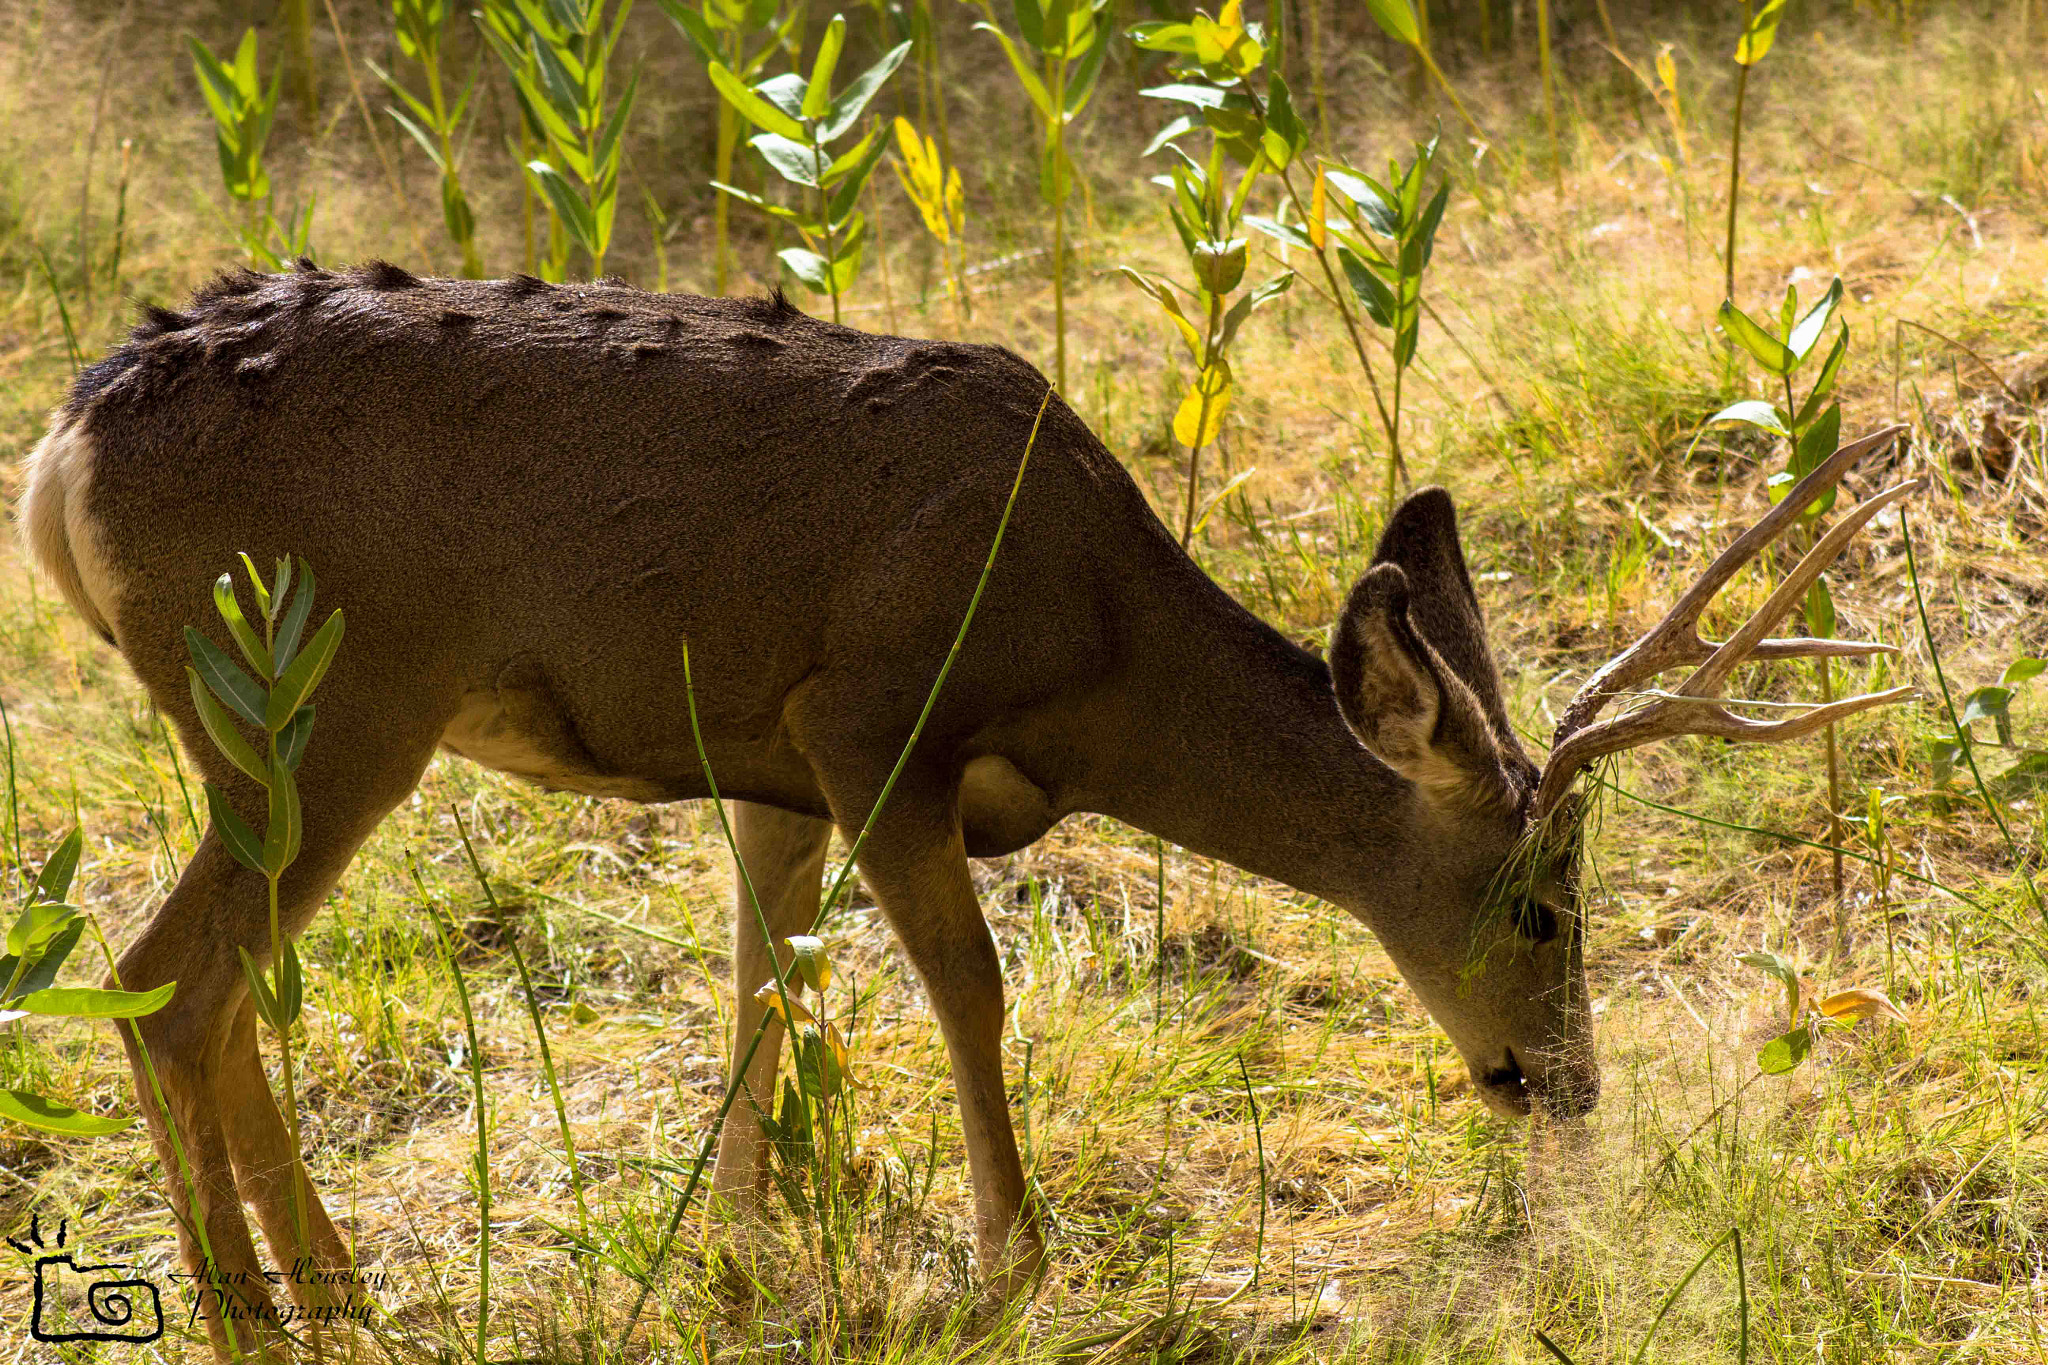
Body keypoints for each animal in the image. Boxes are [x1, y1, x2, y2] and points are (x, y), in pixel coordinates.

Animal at [17, 261, 1919, 1355]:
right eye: (1537, 900)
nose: (1565, 1082)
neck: (1088, 650)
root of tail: (61, 446)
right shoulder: (866, 714)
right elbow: (966, 990)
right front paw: (1013, 1265)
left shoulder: (764, 766)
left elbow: (759, 1004)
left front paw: (737, 1265)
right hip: (330, 703)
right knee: (169, 978)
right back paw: (269, 1320)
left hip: (292, 731)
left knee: (204, 986)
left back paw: (326, 1293)